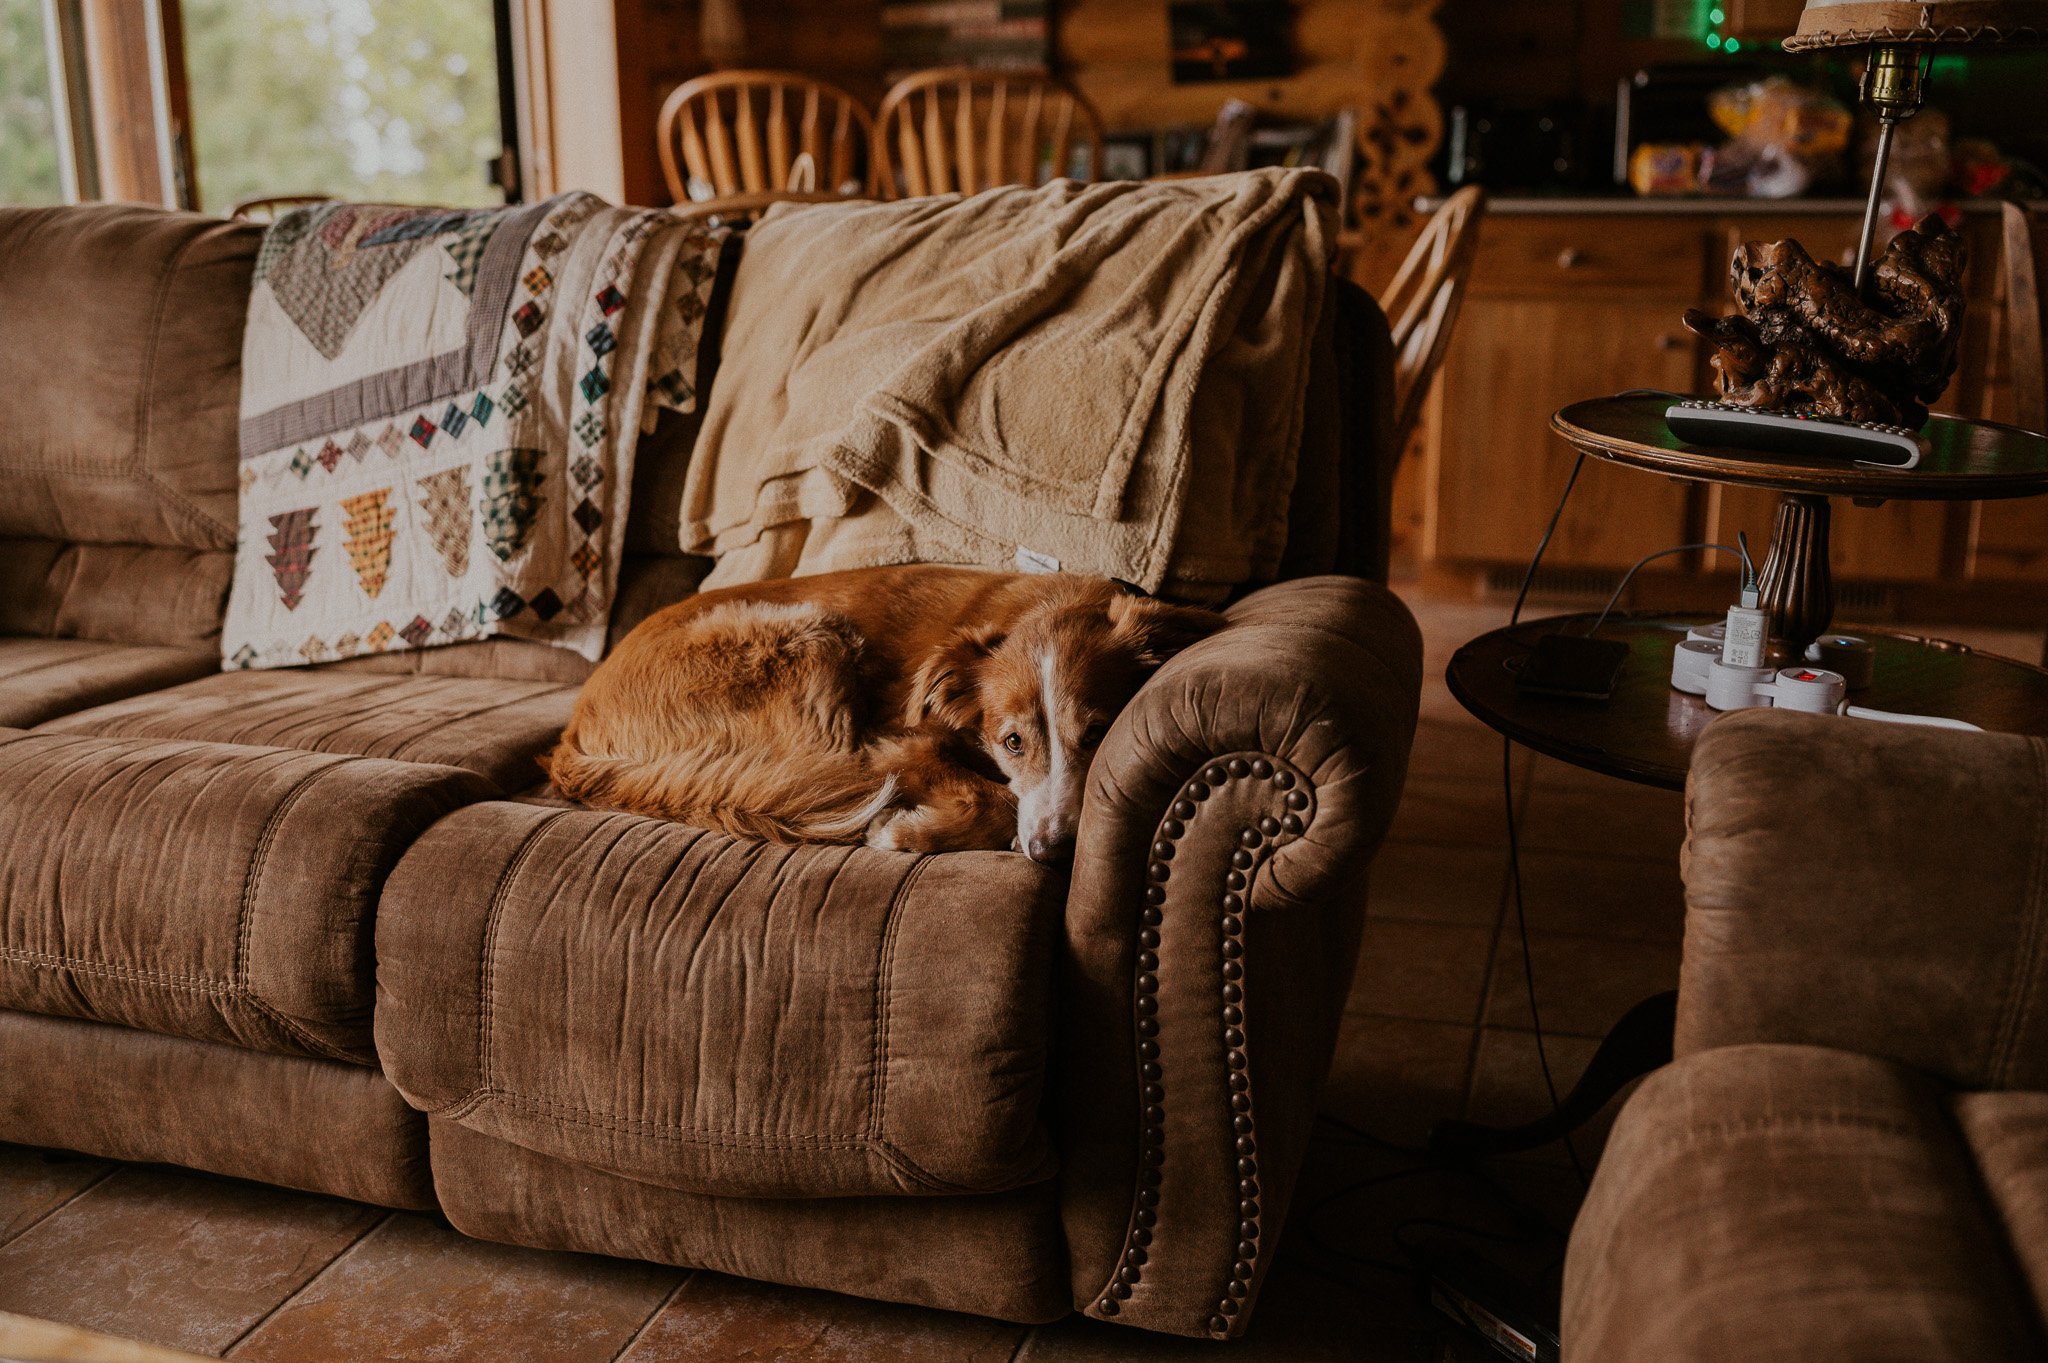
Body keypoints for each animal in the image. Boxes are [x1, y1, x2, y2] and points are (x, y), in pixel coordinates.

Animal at [536, 564, 1220, 859]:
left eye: (1100, 732)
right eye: (1012, 743)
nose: (1052, 853)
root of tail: (576, 731)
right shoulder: (900, 742)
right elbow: (998, 797)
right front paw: (905, 830)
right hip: (809, 634)